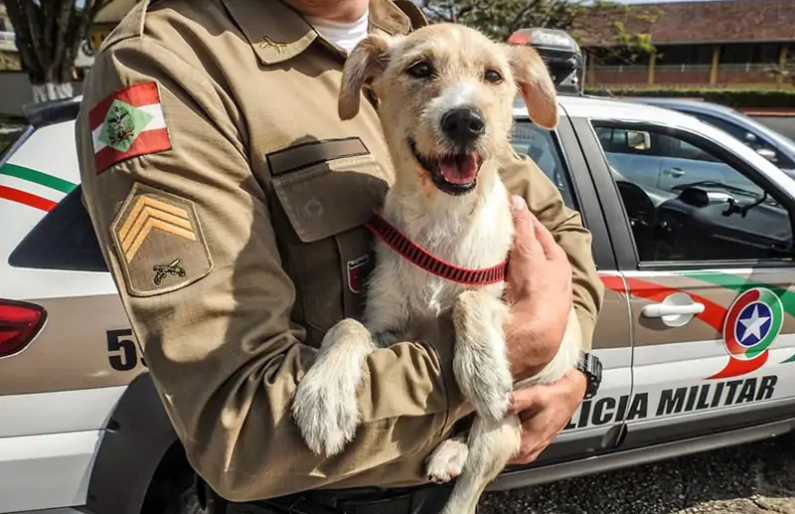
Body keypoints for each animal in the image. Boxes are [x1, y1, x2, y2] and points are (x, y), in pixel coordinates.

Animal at [290, 22, 580, 512]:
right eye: (420, 69)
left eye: (493, 75)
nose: (465, 120)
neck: (442, 220)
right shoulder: (388, 328)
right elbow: (348, 326)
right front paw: (324, 394)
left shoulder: (507, 295)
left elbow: (469, 301)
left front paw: (482, 370)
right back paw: (448, 451)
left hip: (503, 429)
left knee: (465, 490)